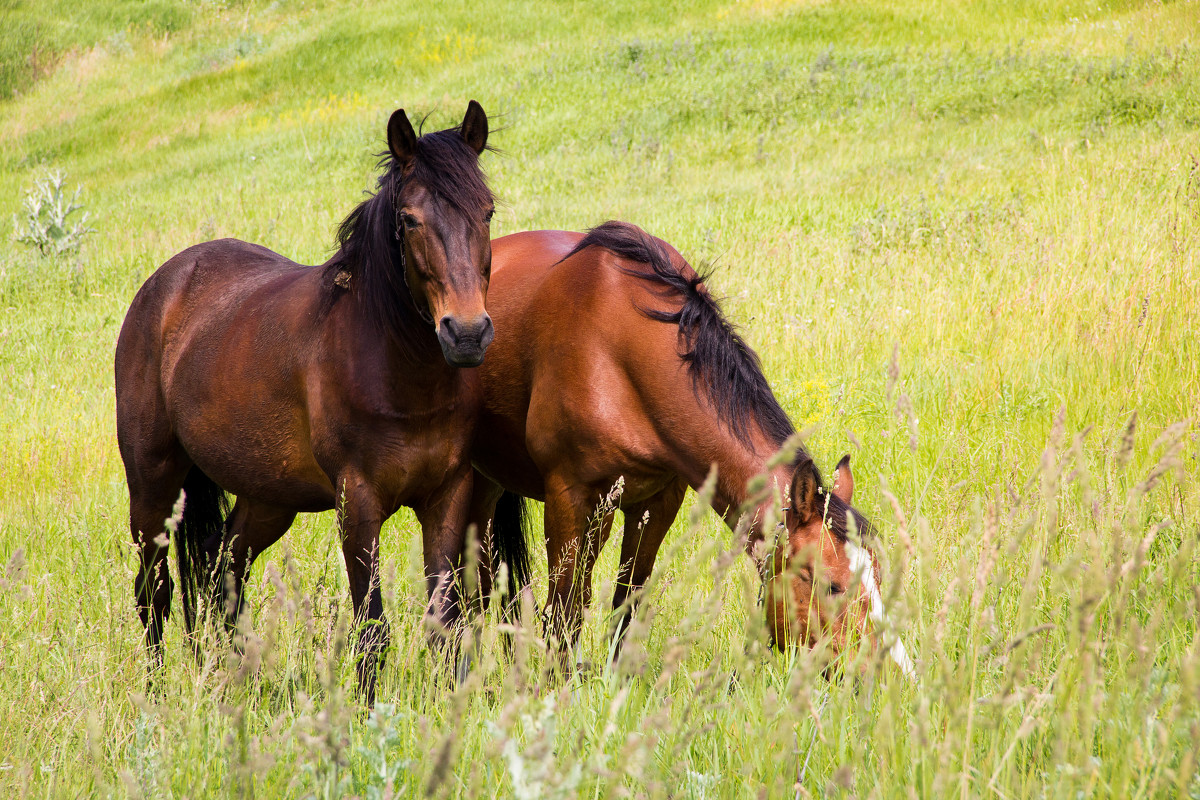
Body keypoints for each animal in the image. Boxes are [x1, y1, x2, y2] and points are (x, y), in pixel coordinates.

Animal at [115, 101, 496, 705]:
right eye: (410, 220)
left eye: (487, 212)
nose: (466, 334)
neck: (395, 370)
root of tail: (162, 286)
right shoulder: (357, 503)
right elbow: (373, 628)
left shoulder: (446, 496)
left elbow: (445, 622)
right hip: (153, 488)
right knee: (154, 592)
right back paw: (158, 701)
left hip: (268, 498)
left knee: (223, 570)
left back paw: (234, 685)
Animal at [463, 220, 912, 676]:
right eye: (831, 584)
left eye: (878, 573)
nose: (894, 673)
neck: (615, 348)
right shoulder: (570, 500)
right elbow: (564, 613)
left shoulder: (657, 501)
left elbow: (628, 601)